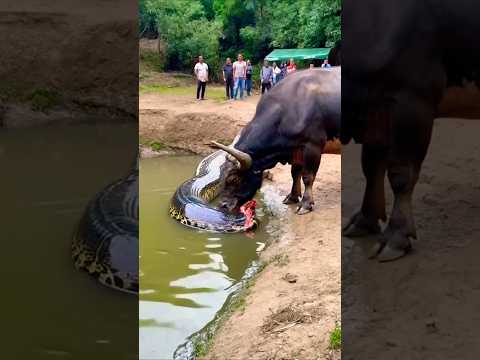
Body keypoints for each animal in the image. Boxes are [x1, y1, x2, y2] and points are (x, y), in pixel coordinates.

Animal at [211, 66, 342, 215]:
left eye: (234, 179)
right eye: (221, 176)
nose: (223, 206)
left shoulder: (313, 146)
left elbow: (308, 176)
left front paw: (306, 203)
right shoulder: (295, 149)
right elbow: (295, 173)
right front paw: (292, 196)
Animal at [342, 0, 480, 260]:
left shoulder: (412, 99)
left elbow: (401, 173)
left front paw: (397, 234)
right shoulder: (376, 108)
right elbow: (371, 166)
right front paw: (365, 219)